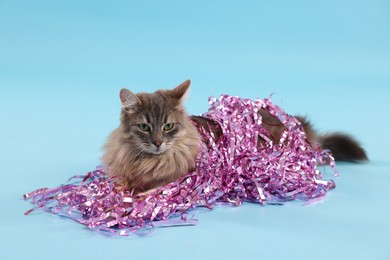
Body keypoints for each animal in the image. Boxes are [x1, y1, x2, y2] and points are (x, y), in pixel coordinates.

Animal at [102, 80, 368, 194]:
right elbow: (119, 184)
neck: (147, 160)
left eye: (168, 126)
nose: (158, 142)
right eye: (145, 127)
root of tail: (296, 125)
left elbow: (147, 193)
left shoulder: (179, 180)